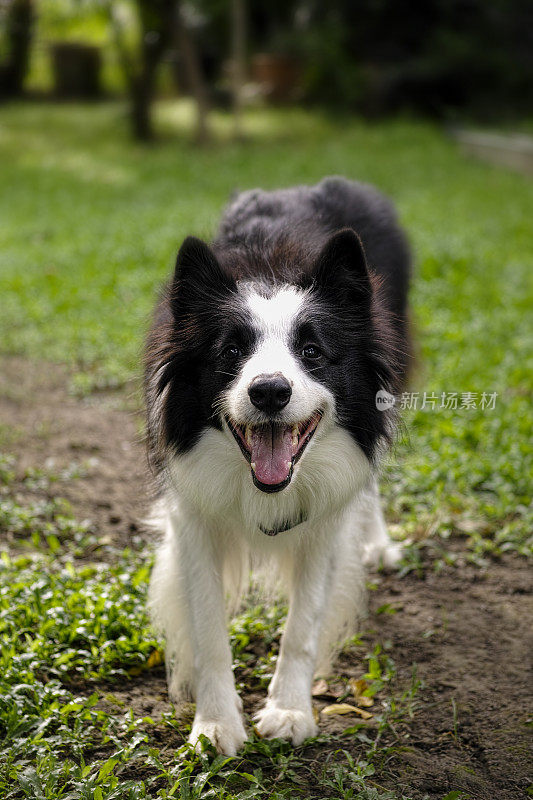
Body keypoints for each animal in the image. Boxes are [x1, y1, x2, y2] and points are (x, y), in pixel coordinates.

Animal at [144, 177, 412, 756]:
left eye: (312, 351)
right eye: (231, 351)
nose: (269, 391)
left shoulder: (326, 526)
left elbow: (303, 625)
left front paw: (289, 712)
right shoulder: (192, 517)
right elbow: (208, 631)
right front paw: (215, 725)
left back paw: (378, 541)